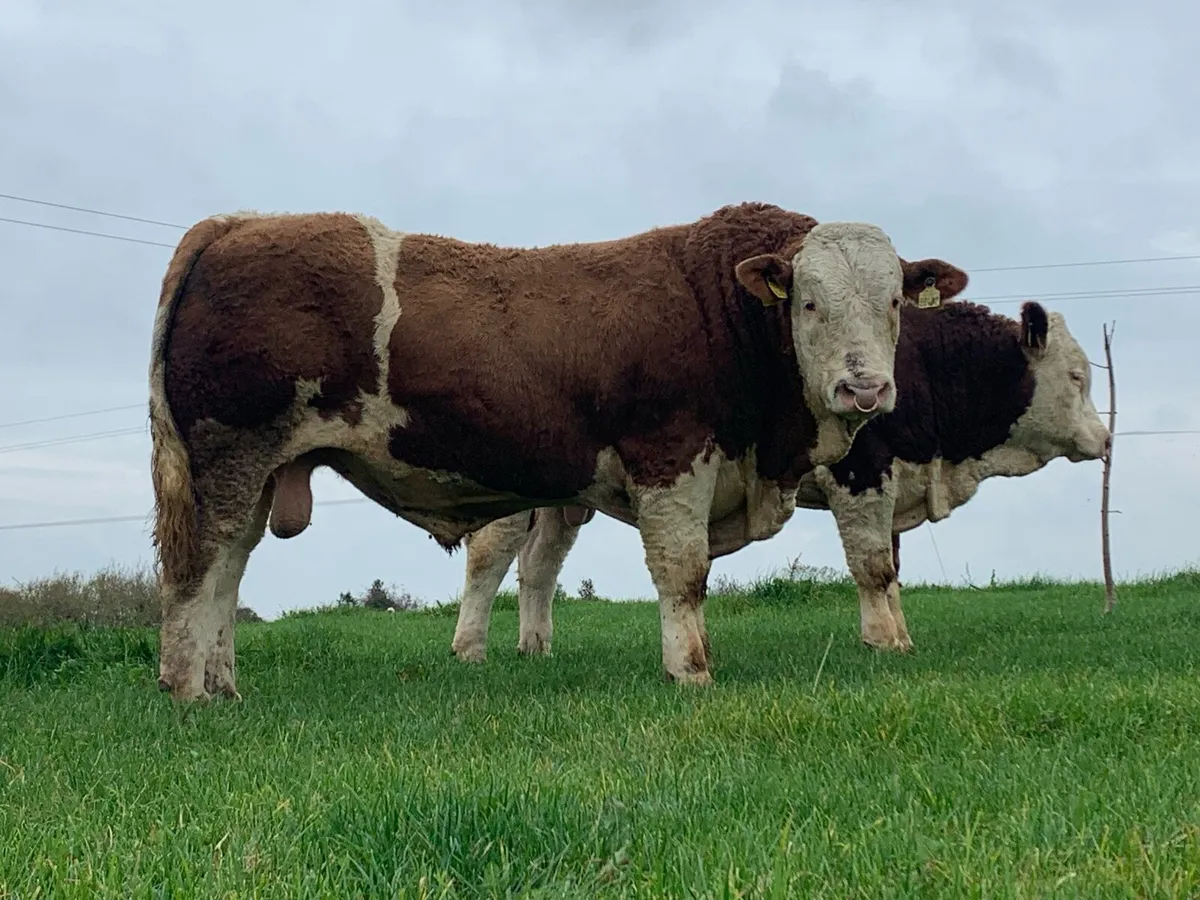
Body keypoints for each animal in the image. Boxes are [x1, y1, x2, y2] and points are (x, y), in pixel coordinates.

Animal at [147, 201, 970, 701]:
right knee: (200, 565)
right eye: (809, 301)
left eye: (893, 302)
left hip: (258, 472)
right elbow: (683, 574)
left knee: (229, 566)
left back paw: (223, 684)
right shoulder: (670, 457)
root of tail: (238, 224)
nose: (864, 389)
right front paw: (690, 672)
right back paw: (188, 689)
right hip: (229, 458)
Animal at [449, 299, 1110, 661]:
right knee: (490, 557)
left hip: (561, 502)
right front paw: (884, 643)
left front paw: (897, 632)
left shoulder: (892, 481)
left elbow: (892, 569)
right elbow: (872, 566)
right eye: (1078, 376)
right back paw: (468, 649)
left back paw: (535, 646)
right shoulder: (859, 472)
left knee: (540, 566)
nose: (1105, 440)